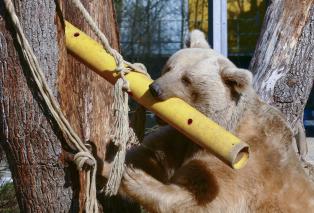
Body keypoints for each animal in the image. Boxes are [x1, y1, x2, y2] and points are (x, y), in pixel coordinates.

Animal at [102, 29, 314, 211]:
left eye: (186, 79)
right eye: (168, 67)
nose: (155, 89)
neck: (217, 123)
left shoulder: (247, 164)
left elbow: (204, 199)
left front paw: (133, 176)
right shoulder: (179, 140)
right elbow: (151, 154)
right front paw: (112, 163)